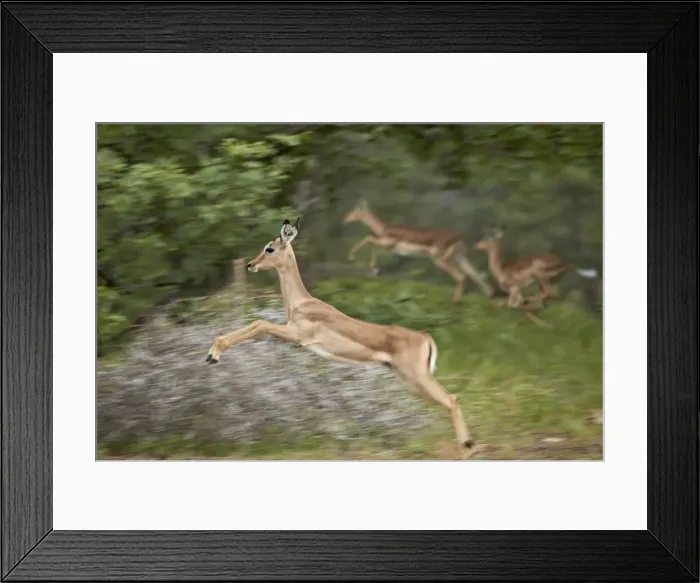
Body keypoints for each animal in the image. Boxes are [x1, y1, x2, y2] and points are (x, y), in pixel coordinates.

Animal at [206, 218, 477, 459]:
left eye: (269, 248)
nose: (250, 264)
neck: (301, 303)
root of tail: (426, 338)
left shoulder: (298, 335)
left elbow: (259, 323)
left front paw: (214, 354)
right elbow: (257, 323)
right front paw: (211, 354)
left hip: (418, 378)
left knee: (451, 399)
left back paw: (468, 450)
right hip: (411, 381)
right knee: (450, 399)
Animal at [342, 200, 494, 301]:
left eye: (355, 209)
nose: (345, 218)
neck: (383, 229)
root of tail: (459, 238)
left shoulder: (387, 244)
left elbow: (368, 239)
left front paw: (354, 259)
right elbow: (370, 242)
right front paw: (375, 270)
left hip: (441, 260)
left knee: (461, 276)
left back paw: (455, 303)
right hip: (459, 259)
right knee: (476, 276)